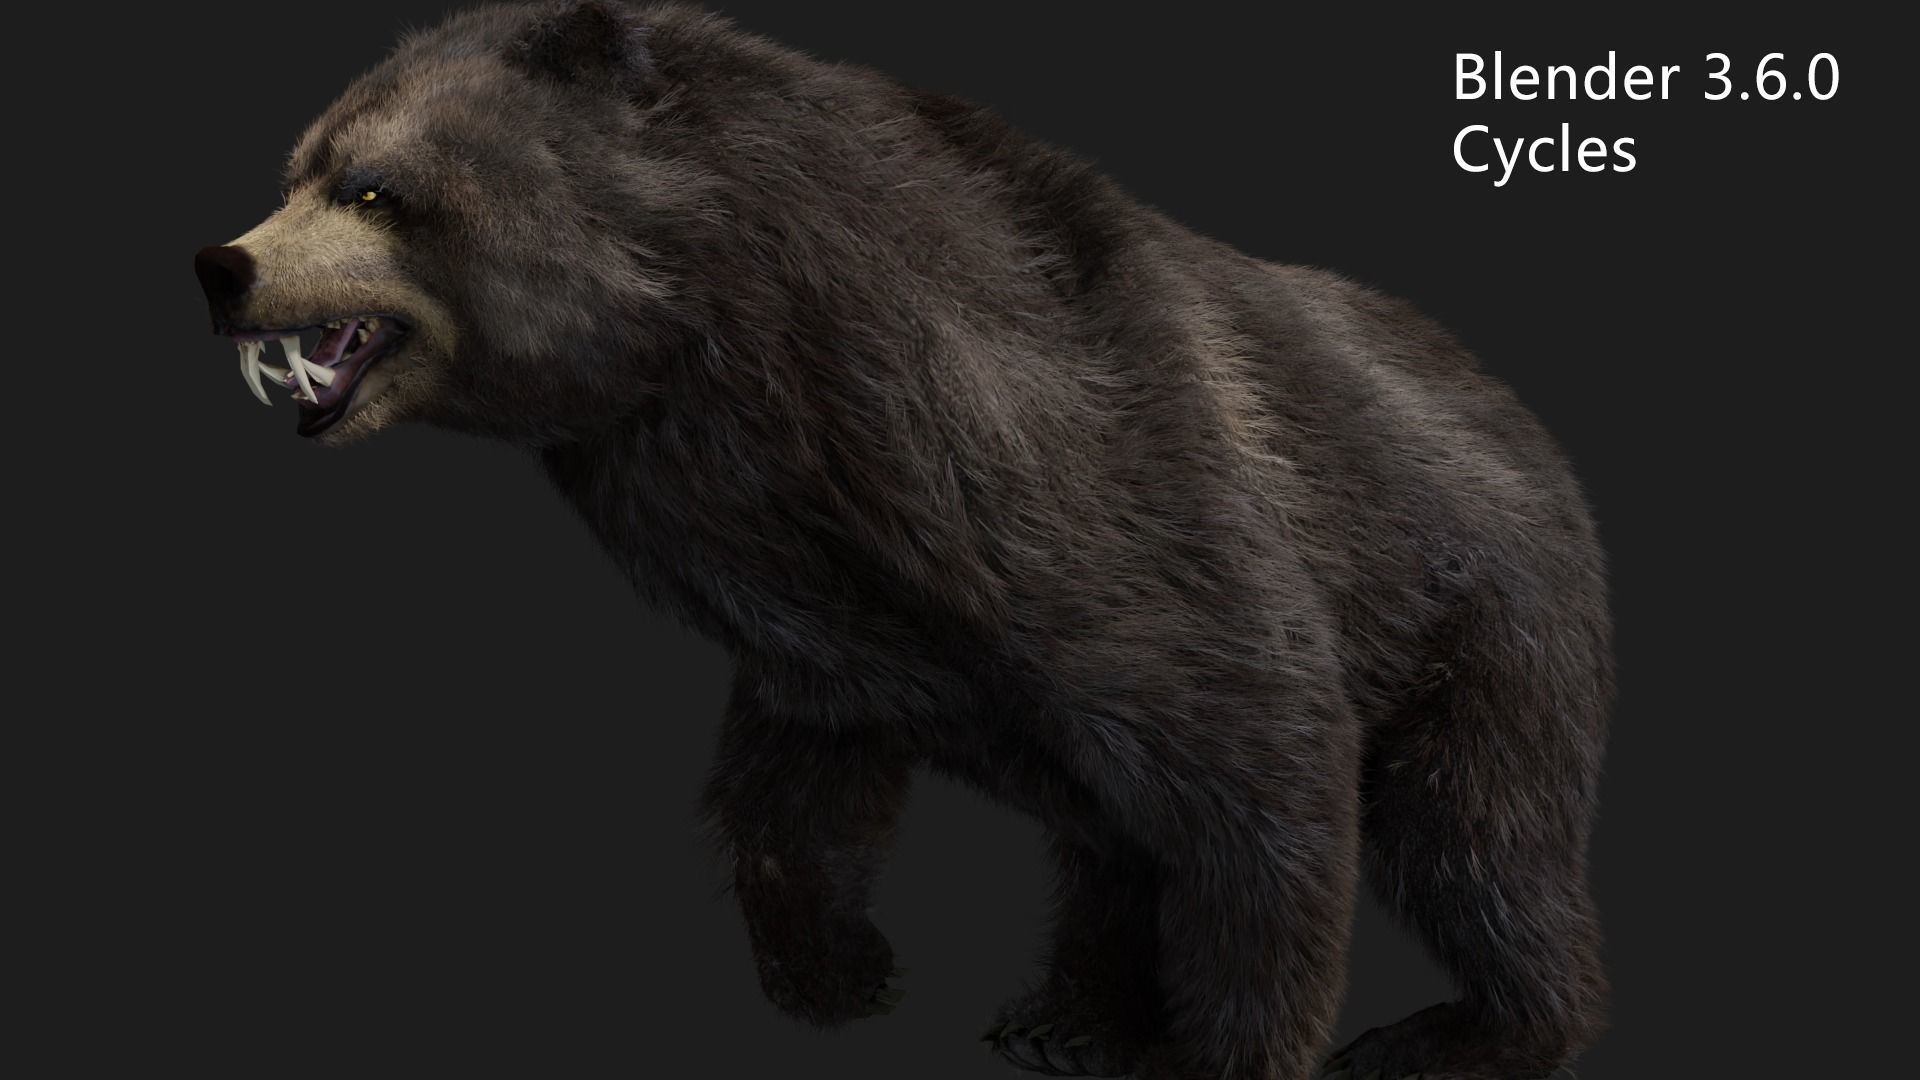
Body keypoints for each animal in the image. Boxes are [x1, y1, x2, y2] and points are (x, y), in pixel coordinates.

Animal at [191, 3, 1613, 1078]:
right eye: (295, 166)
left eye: (375, 186)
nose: (223, 266)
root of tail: (1526, 421)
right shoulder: (823, 607)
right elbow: (795, 784)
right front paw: (842, 968)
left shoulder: (1112, 501)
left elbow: (1257, 759)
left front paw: (1231, 1047)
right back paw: (1069, 1012)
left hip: (1484, 616)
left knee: (1477, 831)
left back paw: (1469, 1032)